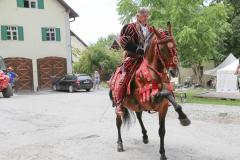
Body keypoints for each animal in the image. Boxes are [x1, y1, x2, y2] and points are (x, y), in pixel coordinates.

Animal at [109, 21, 190, 160]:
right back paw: (120, 144)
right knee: (118, 122)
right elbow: (166, 93)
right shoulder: (149, 98)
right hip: (119, 104)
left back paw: (145, 136)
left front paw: (162, 153)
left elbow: (162, 130)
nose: (174, 71)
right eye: (162, 49)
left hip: (137, 106)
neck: (153, 72)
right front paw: (183, 117)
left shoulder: (163, 107)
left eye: (175, 46)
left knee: (139, 116)